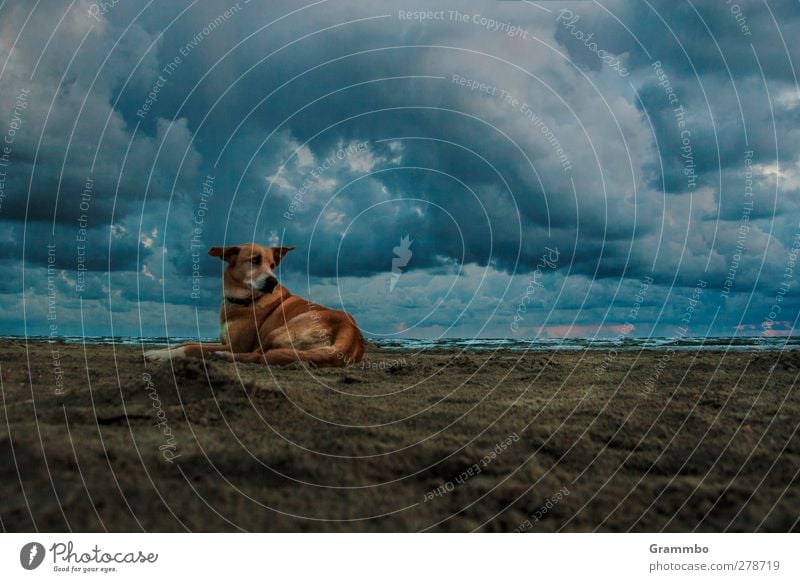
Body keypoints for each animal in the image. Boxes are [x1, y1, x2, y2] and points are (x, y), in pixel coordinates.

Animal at [145, 244, 366, 368]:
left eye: (273, 265)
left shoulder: (236, 345)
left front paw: (160, 355)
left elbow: (191, 347)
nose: (272, 281)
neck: (245, 300)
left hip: (280, 330)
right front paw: (155, 350)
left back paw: (223, 356)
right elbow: (183, 342)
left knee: (258, 356)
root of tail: (351, 333)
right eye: (254, 260)